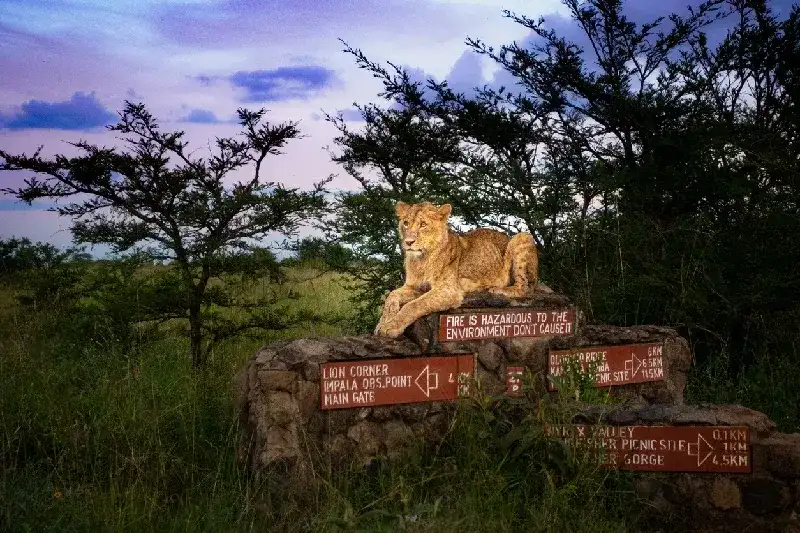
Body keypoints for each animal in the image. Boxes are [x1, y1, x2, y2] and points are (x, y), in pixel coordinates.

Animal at [374, 200, 539, 338]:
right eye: (406, 223)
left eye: (423, 224)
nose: (408, 242)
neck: (422, 260)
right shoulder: (414, 287)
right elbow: (391, 296)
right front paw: (382, 323)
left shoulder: (448, 290)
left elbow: (413, 305)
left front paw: (390, 327)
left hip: (522, 236)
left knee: (525, 287)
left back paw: (497, 289)